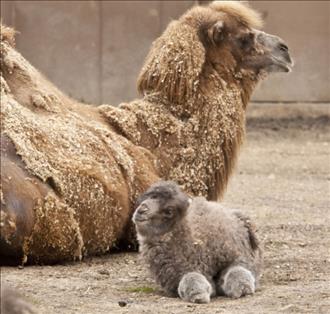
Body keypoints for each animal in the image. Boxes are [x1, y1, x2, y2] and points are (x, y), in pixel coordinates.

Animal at [133, 182, 262, 304]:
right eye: (149, 197)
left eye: (169, 211)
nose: (141, 210)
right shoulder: (179, 275)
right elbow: (190, 278)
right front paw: (199, 295)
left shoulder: (236, 257)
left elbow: (237, 271)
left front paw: (243, 289)